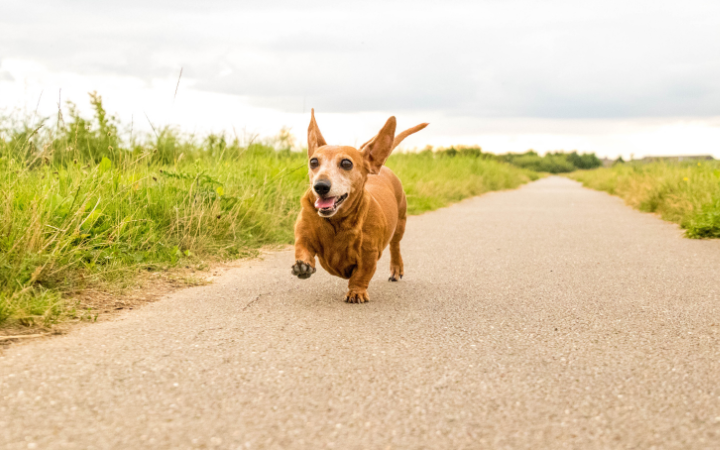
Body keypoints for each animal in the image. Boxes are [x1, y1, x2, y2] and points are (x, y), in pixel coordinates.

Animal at [292, 110, 428, 304]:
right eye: (314, 162)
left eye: (346, 163)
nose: (320, 186)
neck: (337, 221)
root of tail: (380, 166)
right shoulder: (304, 236)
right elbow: (302, 249)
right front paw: (302, 266)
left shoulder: (368, 254)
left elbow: (361, 275)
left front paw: (356, 292)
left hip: (400, 223)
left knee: (395, 246)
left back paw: (396, 268)